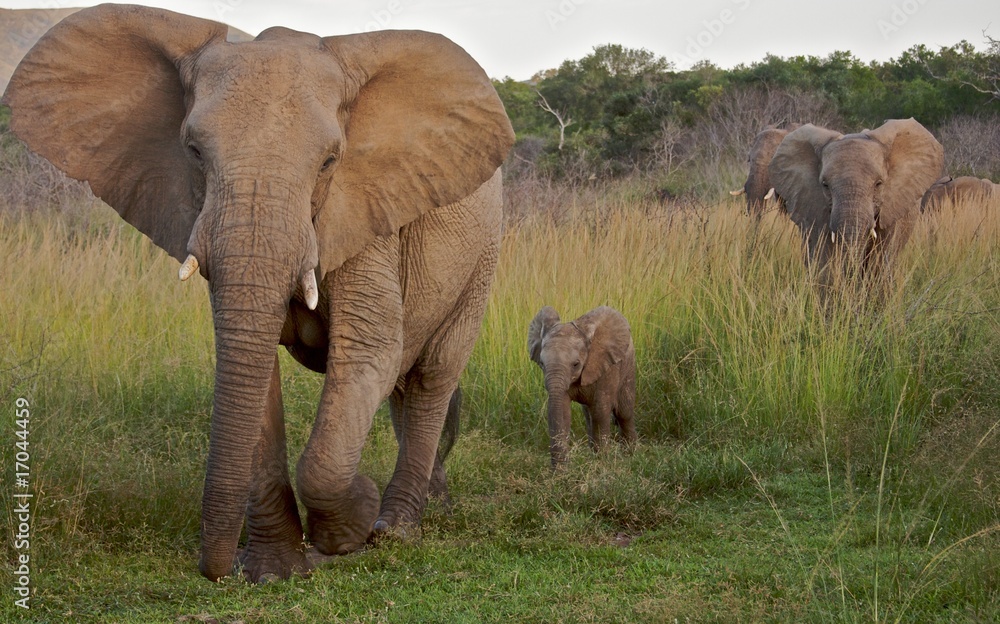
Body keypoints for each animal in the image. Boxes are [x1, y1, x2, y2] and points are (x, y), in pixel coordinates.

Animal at [1, 4, 516, 584]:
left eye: (330, 161)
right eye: (193, 151)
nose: (215, 569)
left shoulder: (366, 213)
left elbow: (370, 351)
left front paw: (352, 523)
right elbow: (251, 364)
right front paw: (273, 570)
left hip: (484, 254)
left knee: (432, 374)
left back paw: (396, 529)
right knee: (406, 387)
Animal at [528, 304, 636, 466]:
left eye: (576, 364)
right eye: (542, 363)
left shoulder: (607, 368)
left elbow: (601, 410)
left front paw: (602, 463)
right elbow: (562, 411)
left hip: (628, 368)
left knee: (624, 411)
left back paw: (631, 455)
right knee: (589, 415)